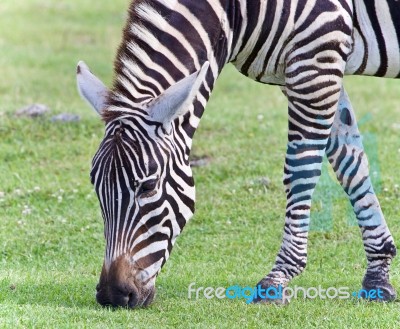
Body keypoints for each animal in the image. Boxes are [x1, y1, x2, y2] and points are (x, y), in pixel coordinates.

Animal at [76, 0, 398, 308]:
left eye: (148, 186)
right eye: (96, 186)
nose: (113, 295)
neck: (236, 11)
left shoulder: (316, 60)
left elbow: (300, 169)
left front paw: (278, 278)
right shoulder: (303, 70)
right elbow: (350, 162)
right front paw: (377, 276)